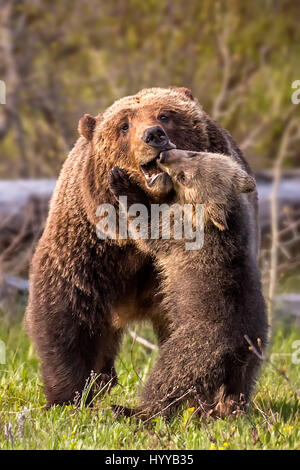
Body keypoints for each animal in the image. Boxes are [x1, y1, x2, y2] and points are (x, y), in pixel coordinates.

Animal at [25, 86, 262, 410]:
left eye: (165, 115)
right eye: (124, 126)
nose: (154, 135)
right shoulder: (90, 244)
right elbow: (65, 306)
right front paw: (67, 395)